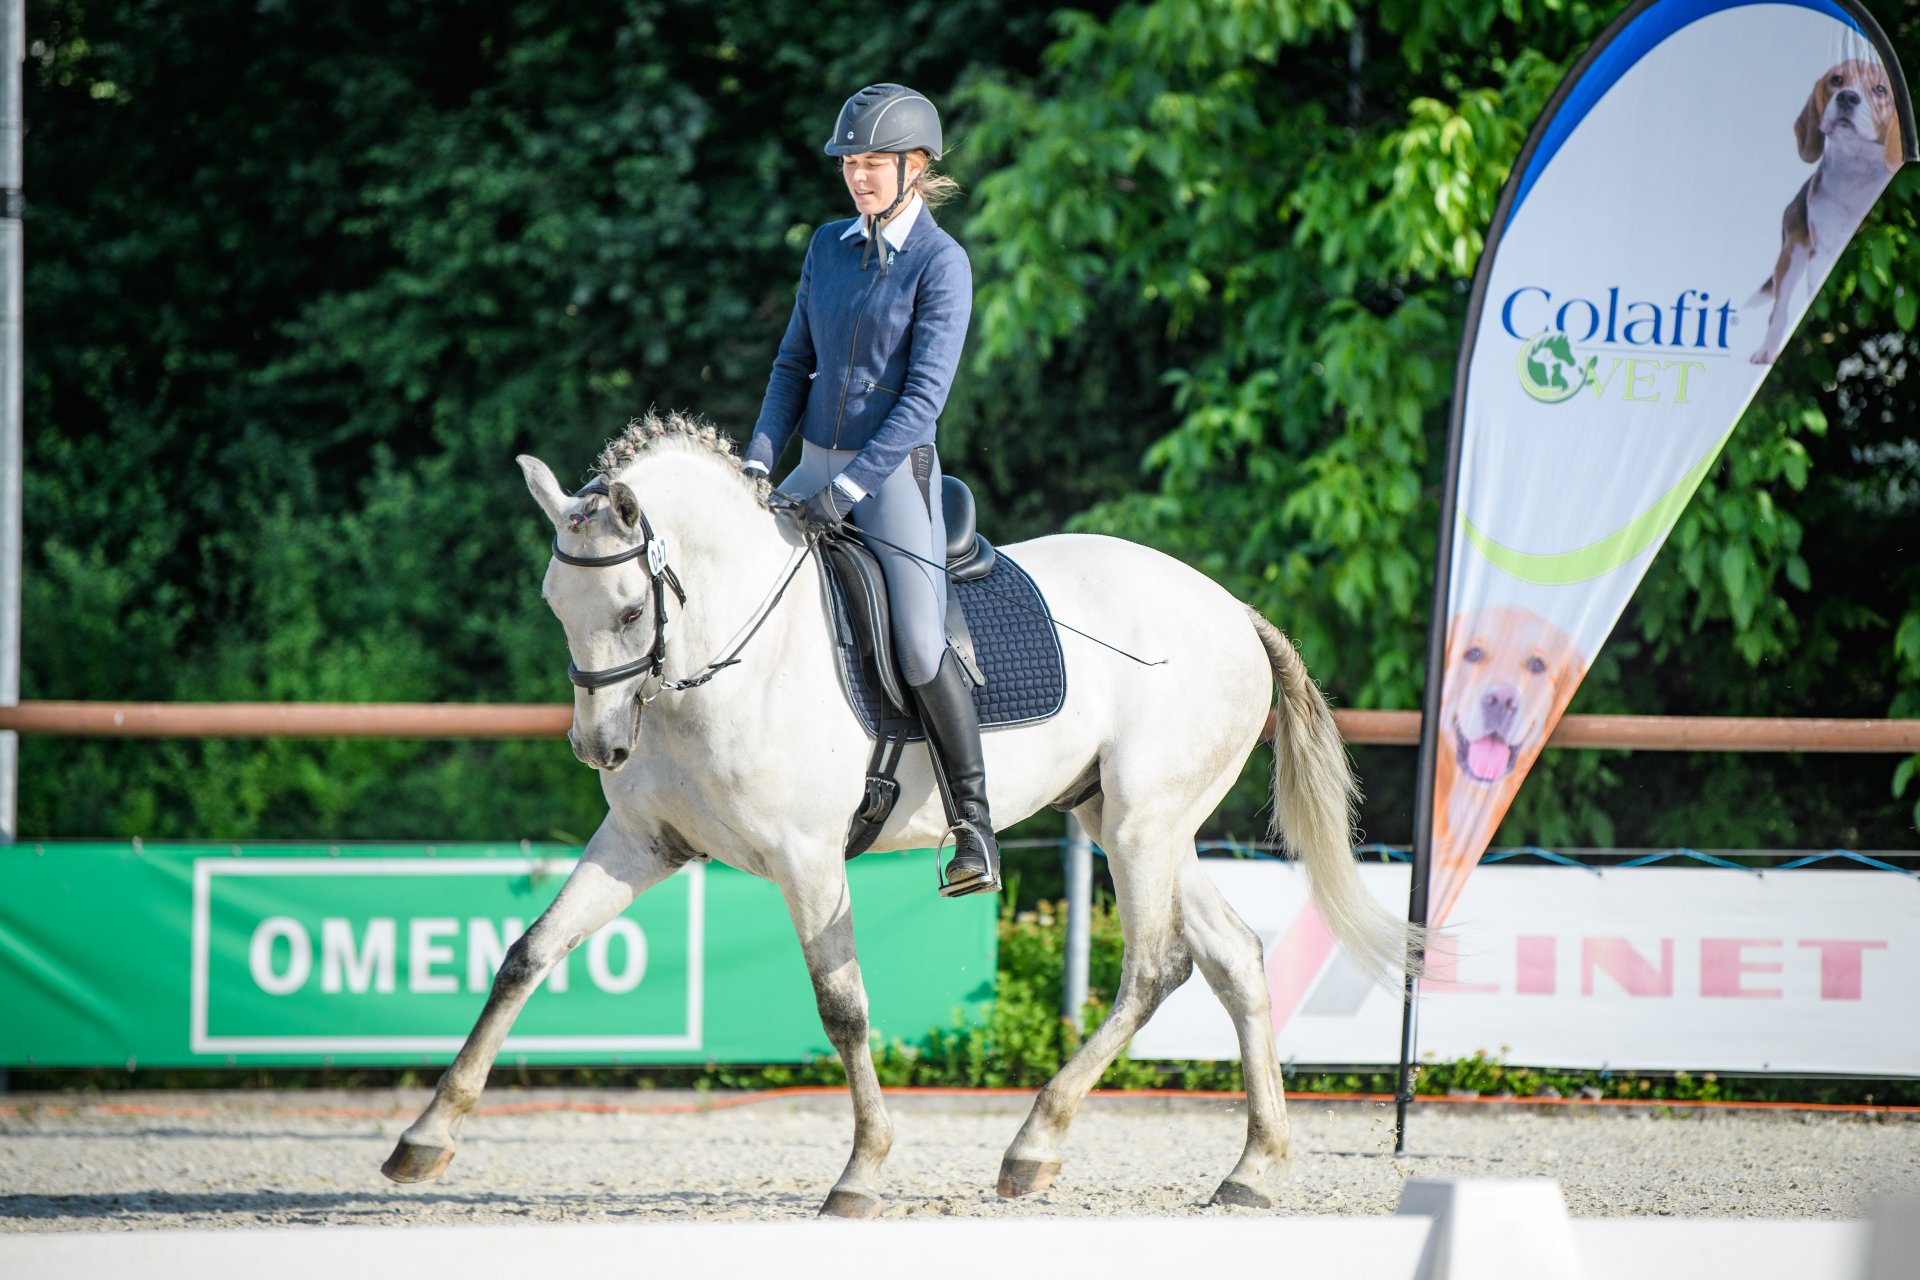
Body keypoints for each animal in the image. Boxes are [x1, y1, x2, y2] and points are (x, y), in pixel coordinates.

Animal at [378, 416, 1428, 1220]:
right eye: (555, 602)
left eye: (633, 610)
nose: (599, 747)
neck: (723, 659)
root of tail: (1230, 608)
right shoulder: (643, 846)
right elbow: (528, 954)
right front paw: (424, 1136)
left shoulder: (808, 859)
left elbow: (842, 1007)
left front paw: (861, 1171)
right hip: (1130, 822)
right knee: (1235, 957)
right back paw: (1252, 1167)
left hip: (1141, 825)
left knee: (1155, 967)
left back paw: (1033, 1145)